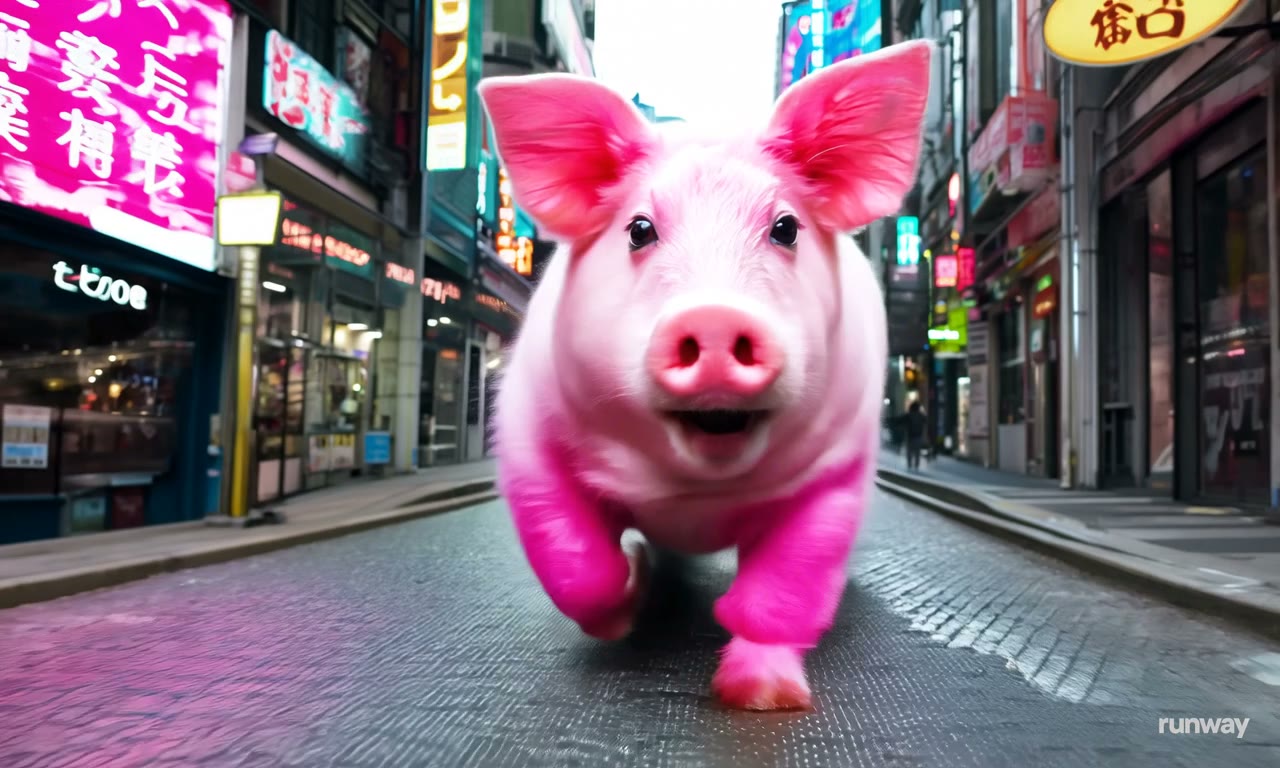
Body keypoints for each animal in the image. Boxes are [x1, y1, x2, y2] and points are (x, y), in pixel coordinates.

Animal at [476, 39, 934, 711]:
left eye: (785, 227)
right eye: (640, 229)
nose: (715, 316)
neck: (694, 497)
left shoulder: (840, 466)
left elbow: (784, 587)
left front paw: (763, 696)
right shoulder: (525, 428)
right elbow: (577, 566)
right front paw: (627, 607)